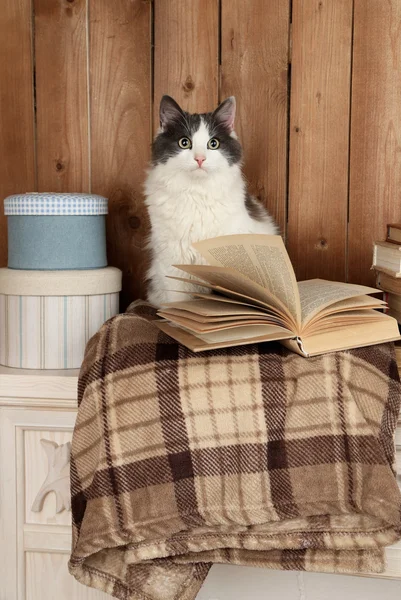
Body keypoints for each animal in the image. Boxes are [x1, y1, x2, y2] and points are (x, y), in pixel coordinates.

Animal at [144, 95, 278, 308]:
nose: (200, 159)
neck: (196, 195)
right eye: (184, 142)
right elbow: (178, 304)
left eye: (213, 143)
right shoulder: (172, 259)